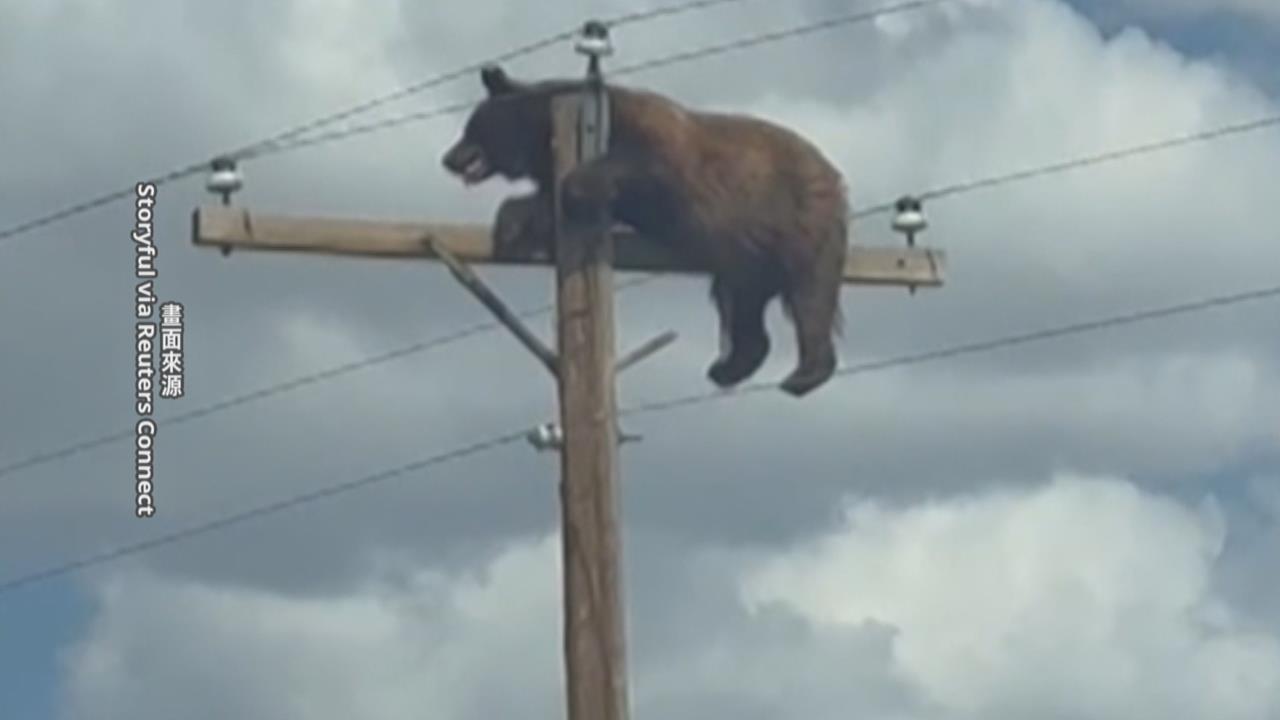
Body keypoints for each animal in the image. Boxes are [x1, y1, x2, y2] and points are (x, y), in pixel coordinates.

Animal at [442, 65, 849, 397]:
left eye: (469, 128)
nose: (448, 158)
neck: (544, 134)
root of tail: (833, 173)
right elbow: (542, 203)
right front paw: (510, 225)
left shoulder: (650, 142)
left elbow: (635, 168)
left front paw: (576, 192)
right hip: (746, 253)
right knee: (742, 303)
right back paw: (728, 367)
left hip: (799, 217)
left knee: (810, 291)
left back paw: (805, 372)